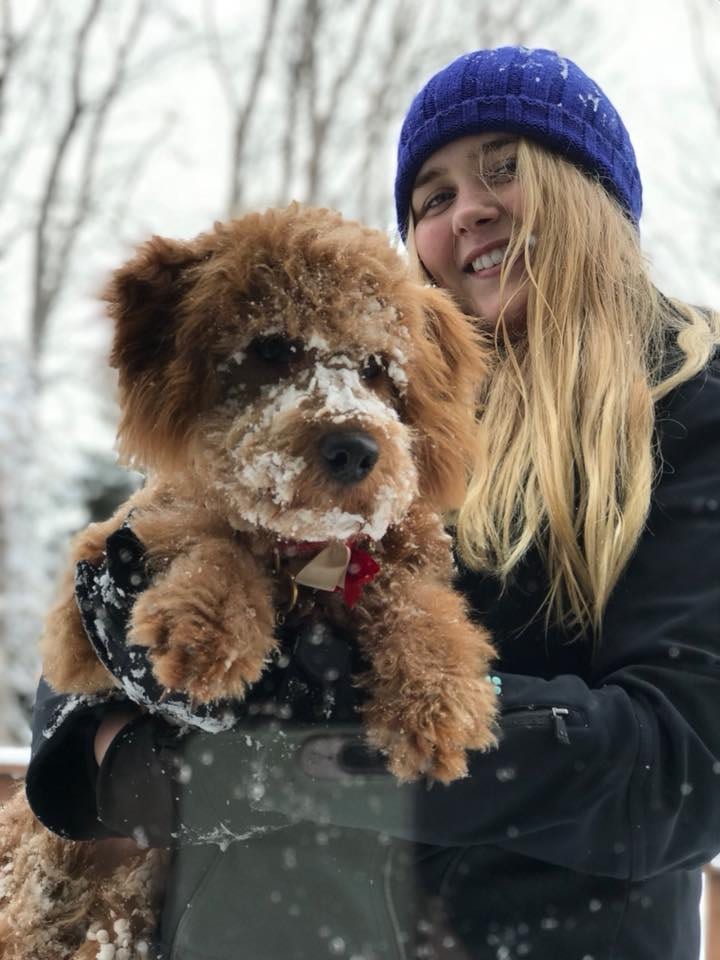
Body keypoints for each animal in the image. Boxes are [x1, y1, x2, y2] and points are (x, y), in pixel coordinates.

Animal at [0, 204, 496, 960]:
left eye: (379, 369)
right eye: (273, 348)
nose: (355, 449)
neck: (305, 558)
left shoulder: (389, 559)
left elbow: (416, 600)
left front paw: (438, 697)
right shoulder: (83, 604)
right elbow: (205, 535)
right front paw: (206, 626)